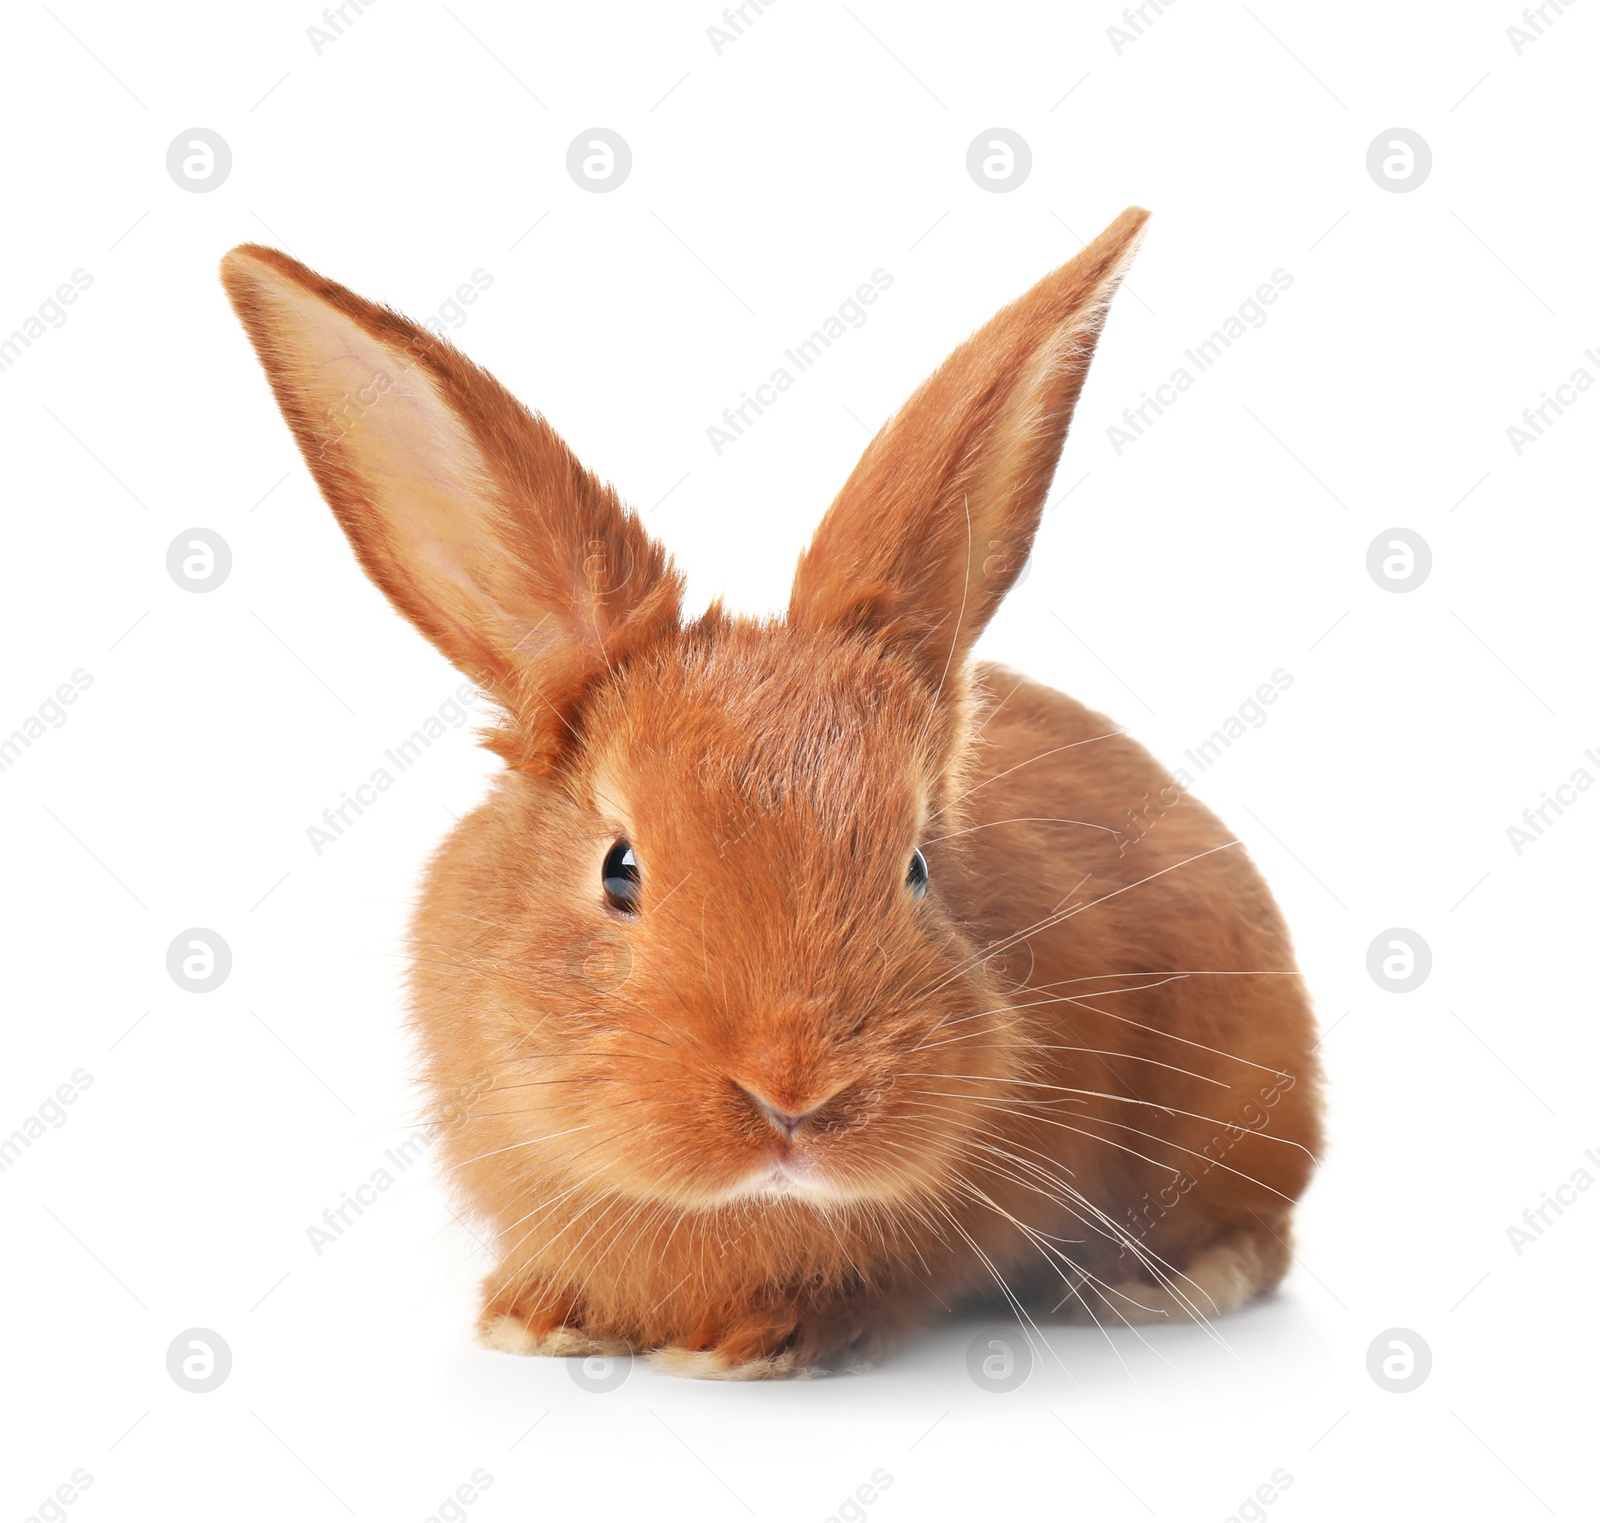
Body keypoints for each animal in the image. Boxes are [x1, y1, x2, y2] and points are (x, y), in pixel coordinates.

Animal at [225, 207, 1324, 1388]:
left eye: (917, 867)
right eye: (620, 870)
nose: (793, 1097)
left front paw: (754, 1344)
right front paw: (538, 1318)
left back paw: (1151, 1287)